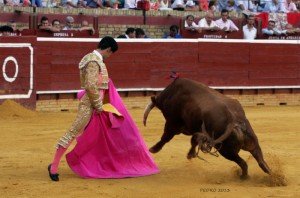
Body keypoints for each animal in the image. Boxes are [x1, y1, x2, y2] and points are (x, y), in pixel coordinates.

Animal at [144, 77, 272, 179]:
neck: (171, 94)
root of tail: (235, 122)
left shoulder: (172, 123)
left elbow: (166, 137)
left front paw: (153, 149)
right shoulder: (195, 129)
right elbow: (194, 140)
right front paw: (190, 154)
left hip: (226, 151)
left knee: (243, 163)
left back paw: (244, 177)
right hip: (252, 142)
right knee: (260, 160)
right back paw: (270, 174)